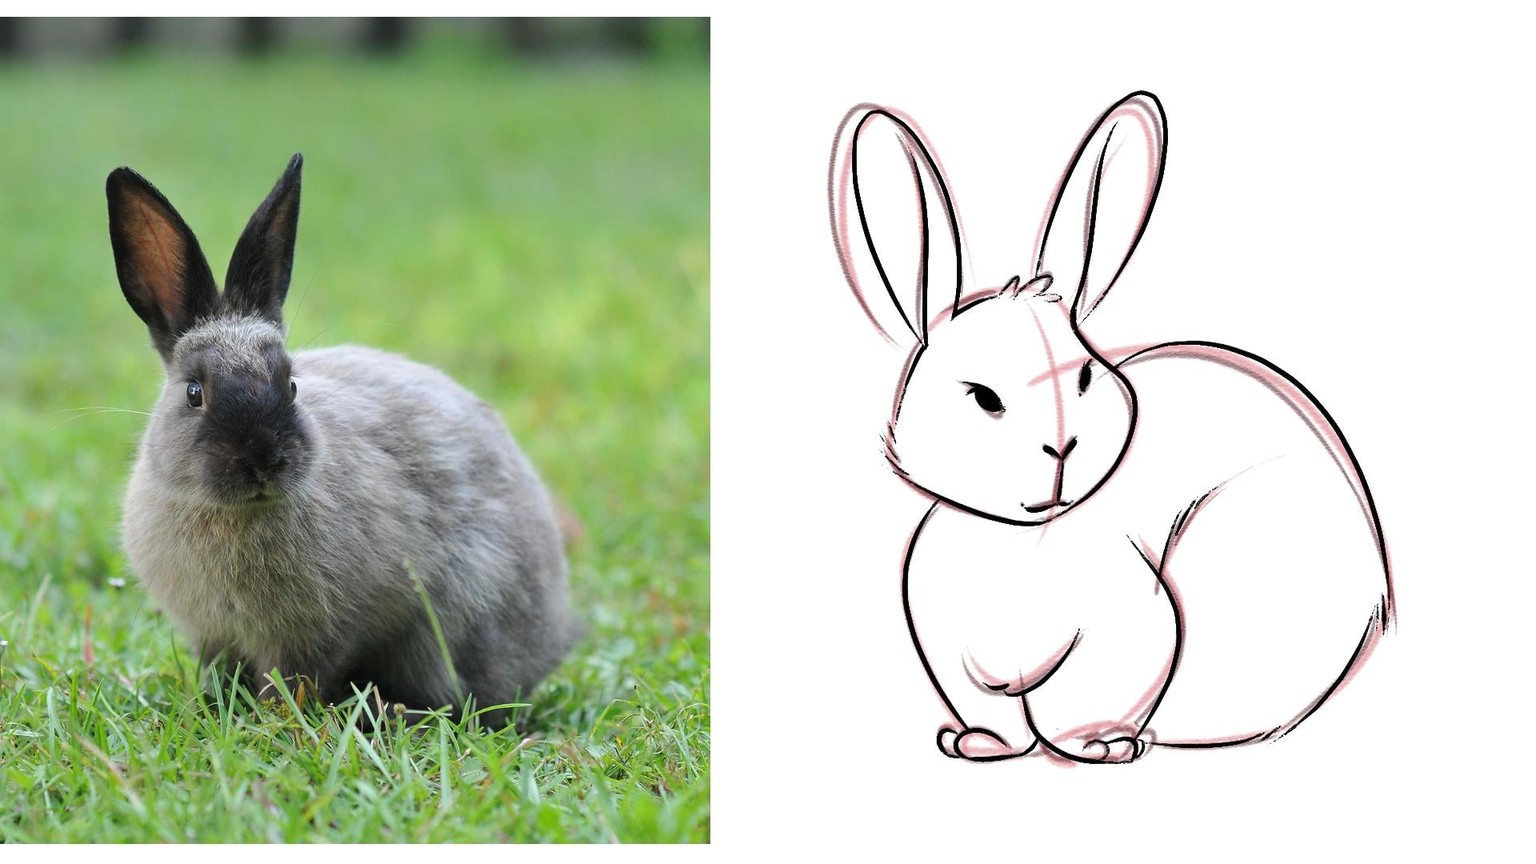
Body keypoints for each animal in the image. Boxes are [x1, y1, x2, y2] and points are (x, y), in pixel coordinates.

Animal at [107, 153, 580, 730]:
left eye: (291, 385)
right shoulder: (215, 636)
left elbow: (291, 681)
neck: (238, 514)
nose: (263, 459)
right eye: (195, 393)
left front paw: (275, 720)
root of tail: (553, 638)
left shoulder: (316, 637)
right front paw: (218, 707)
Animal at [828, 92, 1393, 764]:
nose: (1061, 449)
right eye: (984, 397)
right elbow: (992, 712)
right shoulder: (953, 654)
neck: (1018, 541)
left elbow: (1089, 692)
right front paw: (982, 745)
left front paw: (1092, 746)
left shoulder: (1126, 627)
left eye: (1085, 377)